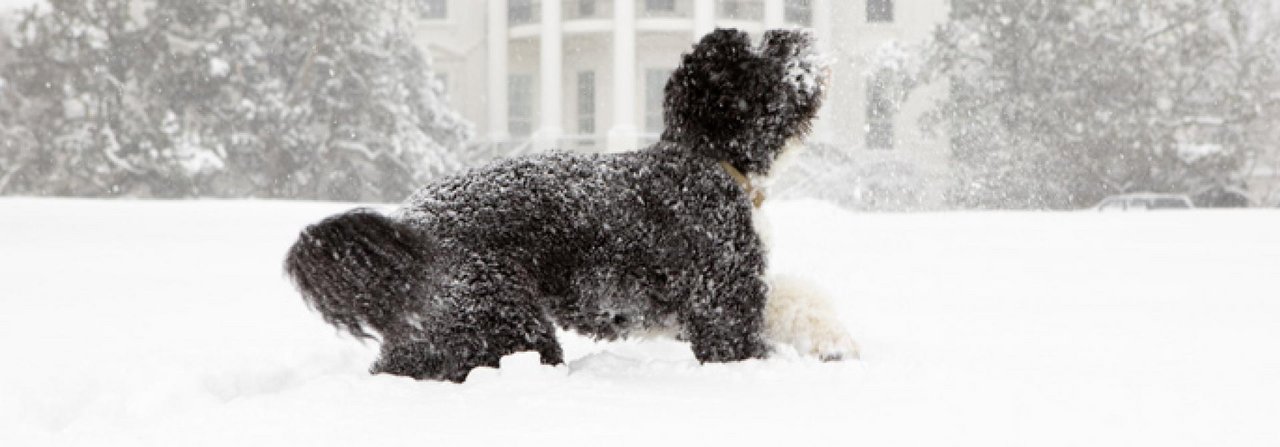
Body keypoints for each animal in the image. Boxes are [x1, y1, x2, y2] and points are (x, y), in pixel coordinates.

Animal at [285, 29, 855, 381]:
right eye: (759, 58)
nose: (794, 35)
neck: (705, 158)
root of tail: (410, 228)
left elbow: (792, 299)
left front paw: (831, 337)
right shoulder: (721, 297)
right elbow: (739, 343)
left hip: (441, 328)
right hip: (501, 319)